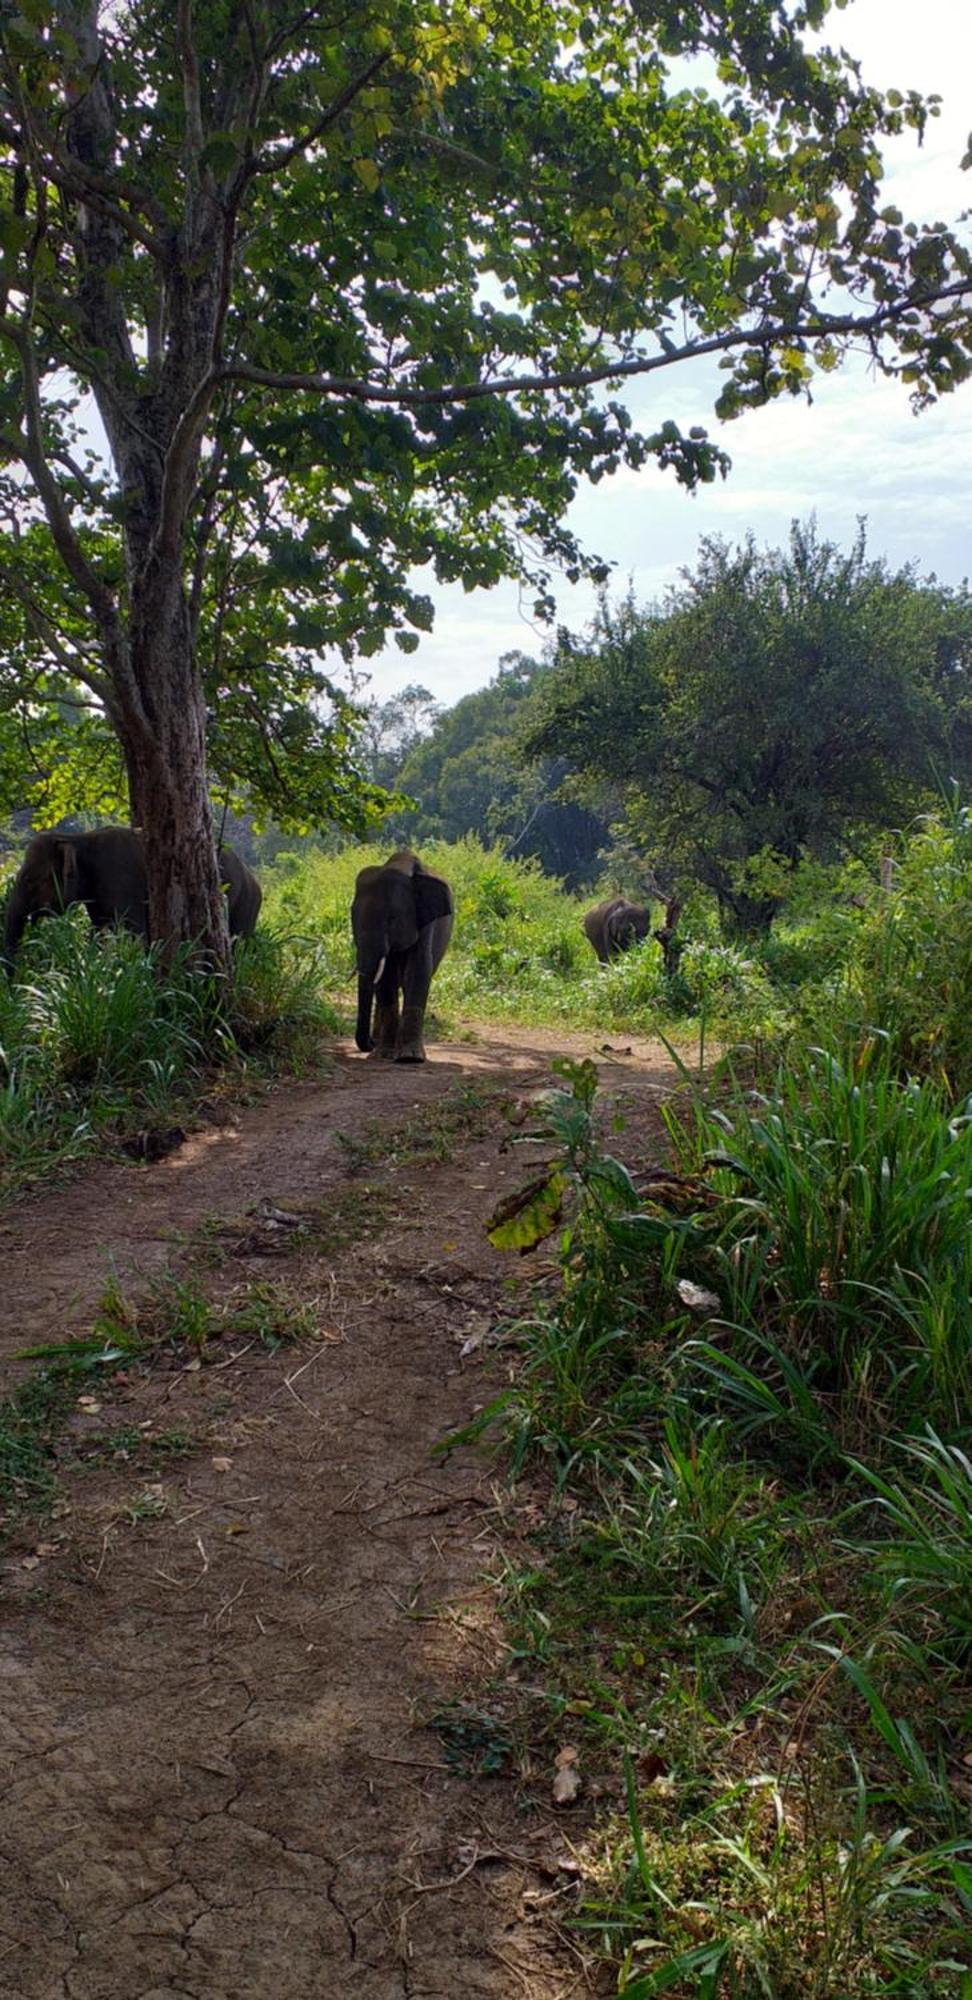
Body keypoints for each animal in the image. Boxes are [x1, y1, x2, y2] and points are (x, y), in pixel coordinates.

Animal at [0, 816, 262, 964]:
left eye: (30, 880)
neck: (76, 838)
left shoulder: (122, 883)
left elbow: (135, 932)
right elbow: (100, 931)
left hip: (246, 903)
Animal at [352, 844, 454, 1064]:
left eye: (392, 919)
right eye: (352, 918)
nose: (369, 1043)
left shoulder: (425, 921)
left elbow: (418, 970)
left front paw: (409, 1058)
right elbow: (385, 978)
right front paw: (382, 1055)